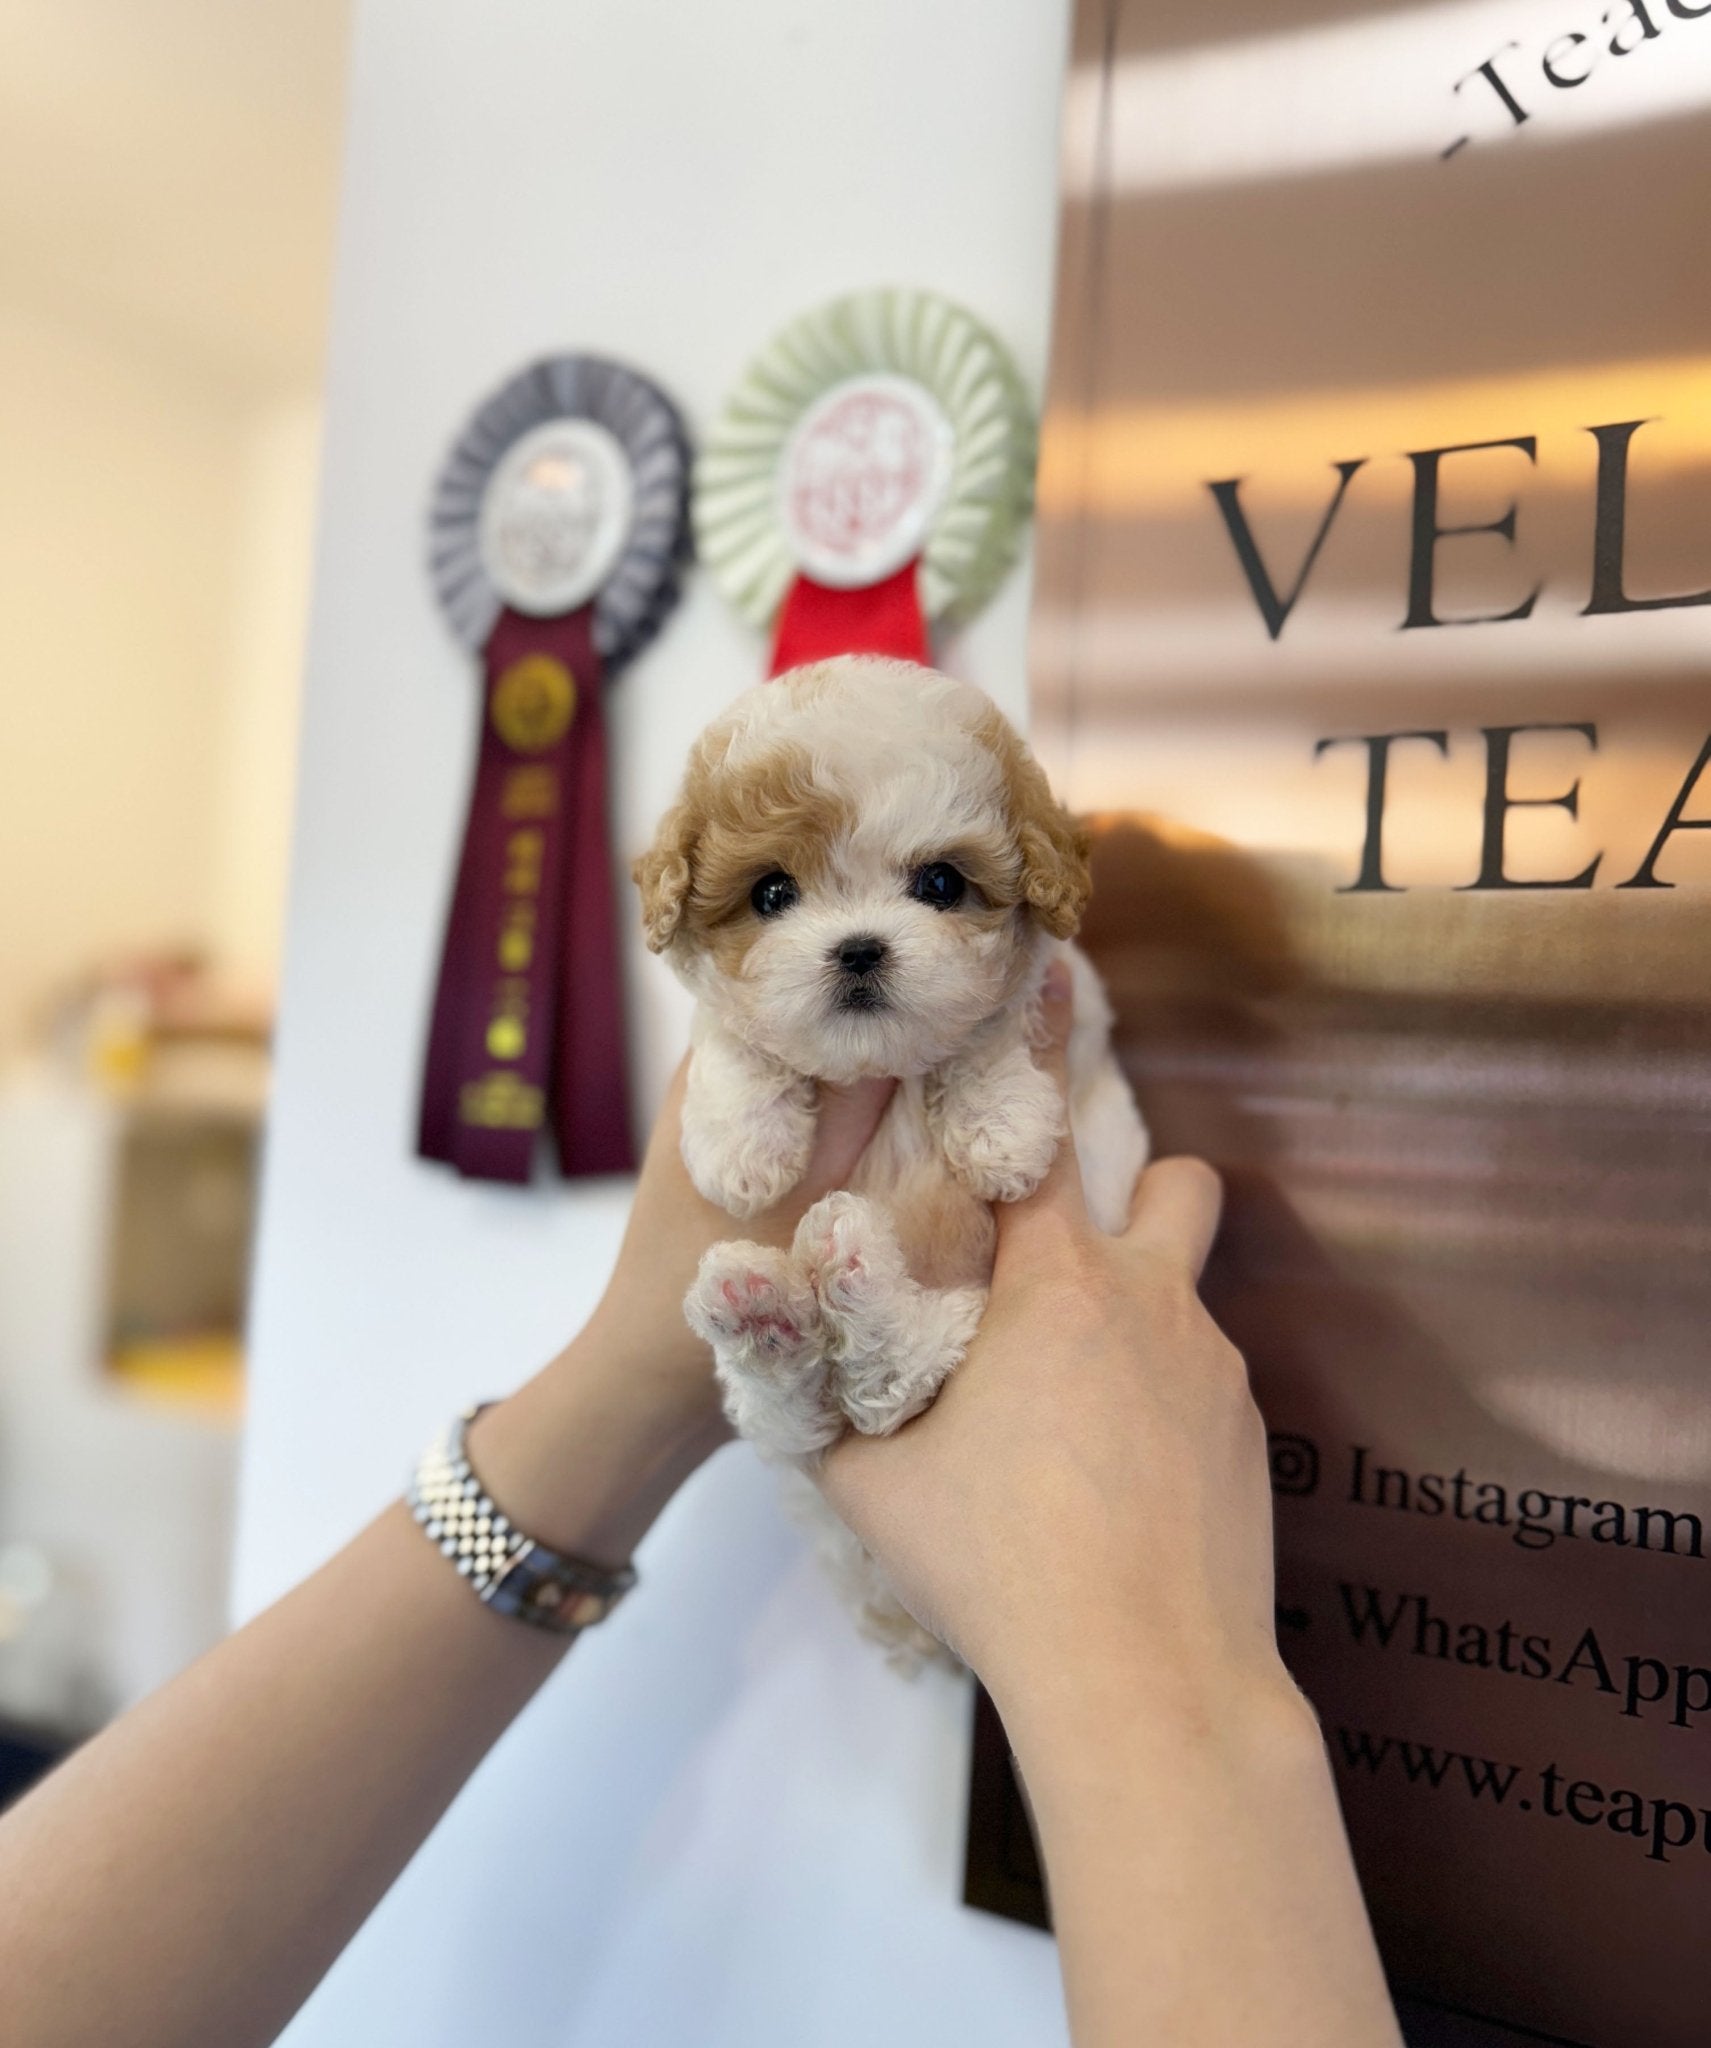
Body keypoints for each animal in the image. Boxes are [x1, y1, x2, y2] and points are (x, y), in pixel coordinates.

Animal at [631, 663, 1147, 1654]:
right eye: (771, 894)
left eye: (941, 882)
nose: (859, 949)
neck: (874, 1066)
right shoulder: (723, 1022)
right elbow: (731, 1036)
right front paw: (740, 1144)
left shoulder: (1071, 1005)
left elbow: (991, 1026)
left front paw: (1002, 1128)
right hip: (791, 1435)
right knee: (807, 1409)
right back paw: (766, 1310)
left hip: (963, 1333)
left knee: (888, 1385)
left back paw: (845, 1276)